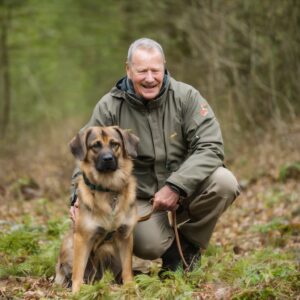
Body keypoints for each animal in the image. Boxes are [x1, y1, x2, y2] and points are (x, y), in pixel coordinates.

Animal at [55, 126, 139, 292]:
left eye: (115, 144)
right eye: (96, 145)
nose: (108, 159)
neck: (108, 188)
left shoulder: (125, 236)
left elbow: (128, 269)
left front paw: (130, 287)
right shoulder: (83, 238)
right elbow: (78, 272)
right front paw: (77, 292)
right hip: (69, 247)